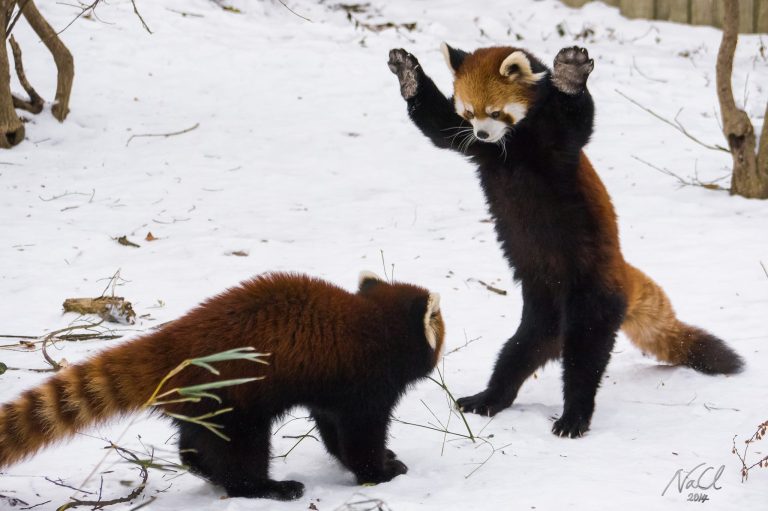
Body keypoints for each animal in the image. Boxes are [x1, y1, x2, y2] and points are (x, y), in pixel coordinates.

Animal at [0, 272, 444, 500]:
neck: (373, 324)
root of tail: (174, 342)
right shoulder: (364, 384)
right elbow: (358, 440)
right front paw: (382, 472)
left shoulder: (332, 389)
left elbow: (335, 433)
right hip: (235, 397)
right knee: (242, 451)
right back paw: (269, 487)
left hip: (204, 400)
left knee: (198, 440)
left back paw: (203, 467)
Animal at [390, 43, 744, 440]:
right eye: (468, 112)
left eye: (495, 112)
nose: (481, 134)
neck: (512, 145)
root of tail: (622, 272)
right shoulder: (474, 147)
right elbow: (438, 126)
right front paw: (408, 74)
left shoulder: (558, 141)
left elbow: (579, 118)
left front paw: (571, 75)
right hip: (542, 312)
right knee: (518, 352)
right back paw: (489, 398)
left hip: (593, 296)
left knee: (584, 359)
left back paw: (574, 416)